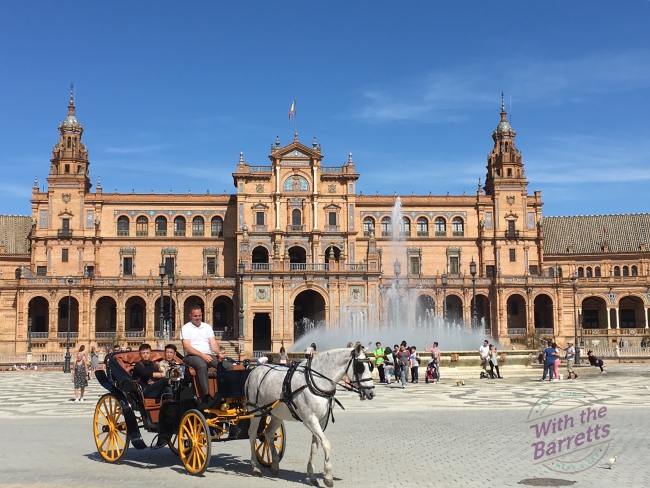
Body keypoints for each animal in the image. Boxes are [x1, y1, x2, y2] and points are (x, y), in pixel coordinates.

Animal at [244, 346, 374, 486]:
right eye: (360, 367)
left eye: (370, 366)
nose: (372, 392)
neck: (317, 381)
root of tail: (254, 370)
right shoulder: (310, 420)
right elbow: (326, 443)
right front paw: (328, 476)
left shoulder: (321, 421)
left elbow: (315, 447)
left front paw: (311, 476)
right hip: (255, 411)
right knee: (252, 434)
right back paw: (255, 466)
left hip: (277, 414)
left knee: (268, 433)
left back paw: (274, 465)